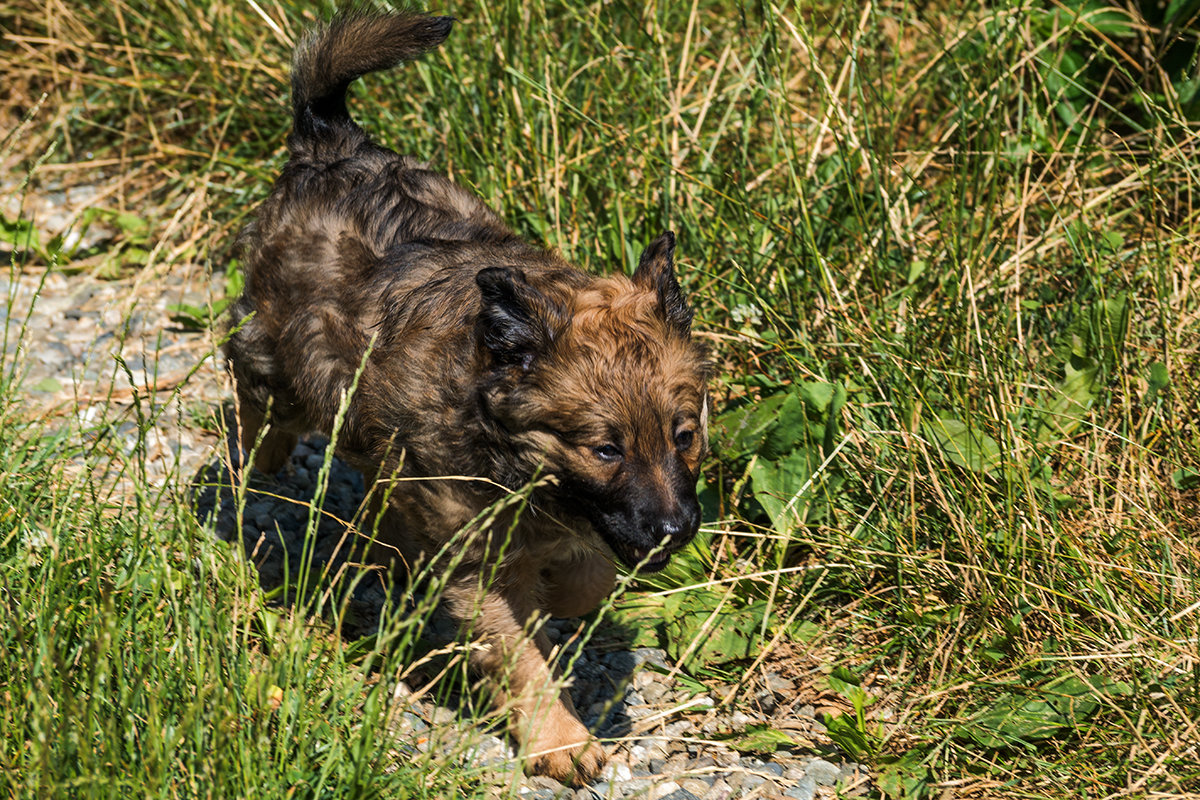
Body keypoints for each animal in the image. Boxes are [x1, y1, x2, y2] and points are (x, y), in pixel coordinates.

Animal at [224, 10, 705, 786]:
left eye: (684, 436)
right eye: (605, 450)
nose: (675, 531)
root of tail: (331, 145)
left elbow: (587, 579)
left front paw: (564, 591)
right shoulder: (477, 564)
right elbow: (522, 658)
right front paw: (559, 741)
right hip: (286, 358)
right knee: (253, 382)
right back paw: (257, 455)